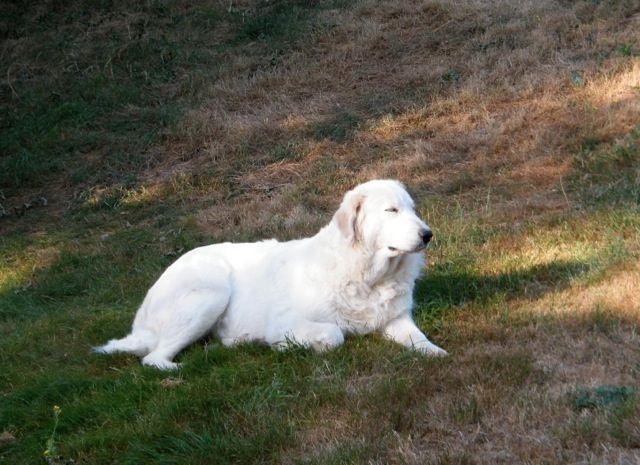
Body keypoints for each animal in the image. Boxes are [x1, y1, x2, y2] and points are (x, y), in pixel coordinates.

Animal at [95, 179, 447, 369]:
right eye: (392, 210)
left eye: (413, 209)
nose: (428, 234)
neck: (369, 275)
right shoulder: (285, 322)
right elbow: (335, 334)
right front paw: (289, 347)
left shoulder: (395, 319)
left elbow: (420, 339)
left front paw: (437, 353)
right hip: (211, 291)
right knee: (152, 358)